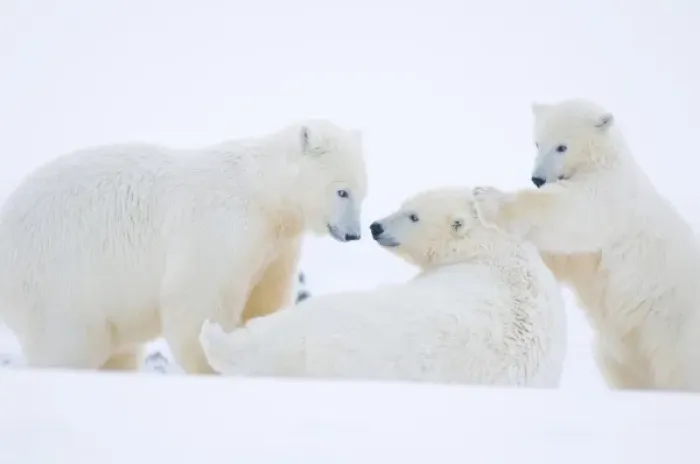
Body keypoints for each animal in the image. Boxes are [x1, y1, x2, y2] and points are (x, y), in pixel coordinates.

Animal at [0, 119, 367, 374]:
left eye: (362, 191)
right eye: (342, 191)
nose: (354, 234)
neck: (262, 192)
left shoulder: (276, 245)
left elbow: (265, 299)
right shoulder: (221, 229)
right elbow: (198, 298)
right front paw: (211, 366)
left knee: (118, 348)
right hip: (60, 281)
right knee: (68, 344)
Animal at [473, 98, 700, 391]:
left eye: (562, 146)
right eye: (537, 142)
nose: (537, 178)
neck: (607, 161)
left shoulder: (609, 195)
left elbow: (571, 212)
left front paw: (487, 197)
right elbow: (567, 256)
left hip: (673, 329)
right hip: (625, 348)